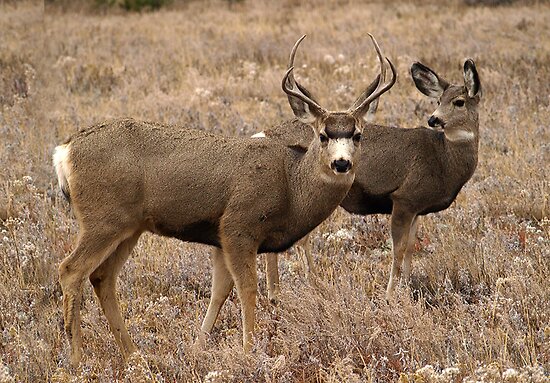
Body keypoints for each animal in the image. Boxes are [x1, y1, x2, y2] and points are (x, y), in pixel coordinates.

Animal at [52, 33, 396, 366]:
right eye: (323, 135)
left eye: (358, 135)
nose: (342, 163)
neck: (290, 185)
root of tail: (64, 151)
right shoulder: (238, 226)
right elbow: (247, 289)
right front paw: (249, 351)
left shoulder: (219, 238)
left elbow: (219, 292)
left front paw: (197, 348)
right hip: (103, 219)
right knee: (70, 270)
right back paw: (77, 360)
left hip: (129, 227)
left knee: (102, 276)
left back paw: (134, 355)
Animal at [260, 55, 480, 302]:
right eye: (439, 101)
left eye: (459, 101)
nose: (433, 120)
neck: (443, 158)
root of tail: (265, 135)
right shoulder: (403, 198)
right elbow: (398, 248)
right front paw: (390, 295)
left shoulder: (417, 208)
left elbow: (410, 247)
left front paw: (408, 288)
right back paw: (287, 292)